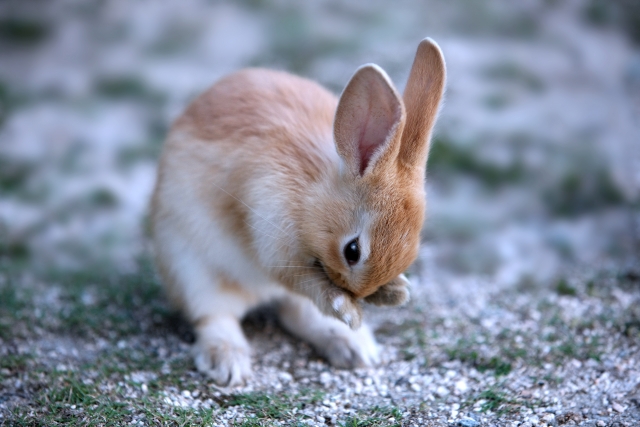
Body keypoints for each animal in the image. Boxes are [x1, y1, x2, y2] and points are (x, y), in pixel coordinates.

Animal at [152, 39, 448, 388]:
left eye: (411, 253)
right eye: (352, 251)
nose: (357, 293)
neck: (309, 198)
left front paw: (395, 292)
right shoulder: (273, 240)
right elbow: (307, 283)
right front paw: (348, 310)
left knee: (296, 316)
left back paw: (355, 348)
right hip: (192, 270)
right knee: (216, 315)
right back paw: (228, 363)